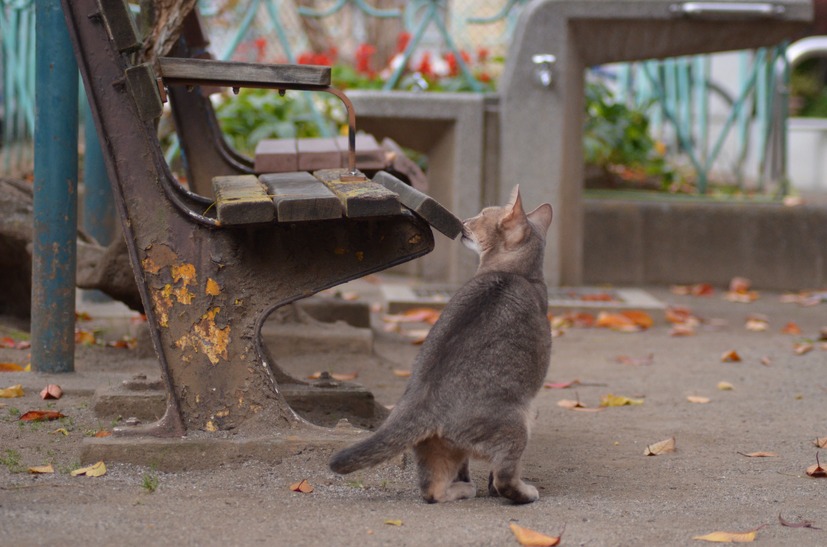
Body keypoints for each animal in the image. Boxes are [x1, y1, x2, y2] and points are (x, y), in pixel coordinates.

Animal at [326, 187, 552, 506]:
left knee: (432, 490)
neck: (516, 274)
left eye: (482, 215)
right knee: (505, 477)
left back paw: (463, 488)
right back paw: (523, 492)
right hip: (520, 421)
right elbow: (494, 478)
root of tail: (421, 400)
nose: (465, 220)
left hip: (435, 447)